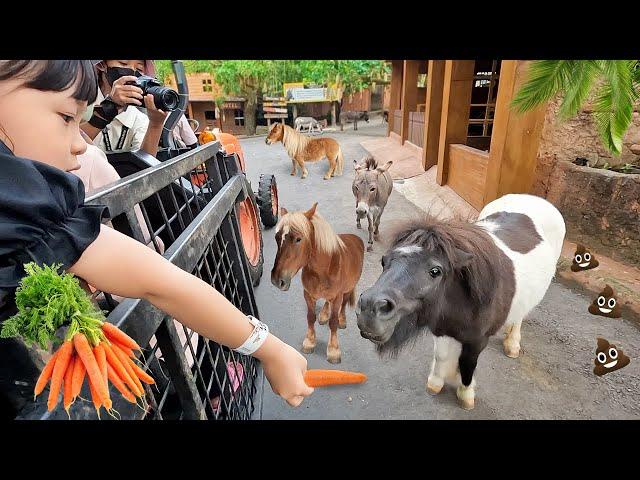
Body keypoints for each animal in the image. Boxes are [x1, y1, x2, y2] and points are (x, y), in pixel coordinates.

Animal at [272, 202, 364, 364]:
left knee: (344, 304)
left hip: (348, 289)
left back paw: (342, 320)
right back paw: (324, 315)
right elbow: (310, 317)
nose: (278, 280)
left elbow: (333, 323)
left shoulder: (337, 297)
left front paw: (333, 351)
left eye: (298, 239)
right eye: (277, 237)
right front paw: (309, 342)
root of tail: (356, 239)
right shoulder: (308, 295)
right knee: (327, 301)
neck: (323, 269)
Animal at [356, 193, 564, 410]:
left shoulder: (477, 341)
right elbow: (442, 356)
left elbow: (467, 364)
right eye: (384, 261)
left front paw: (466, 394)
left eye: (435, 271)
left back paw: (512, 343)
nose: (369, 308)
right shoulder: (440, 328)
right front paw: (436, 382)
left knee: (520, 318)